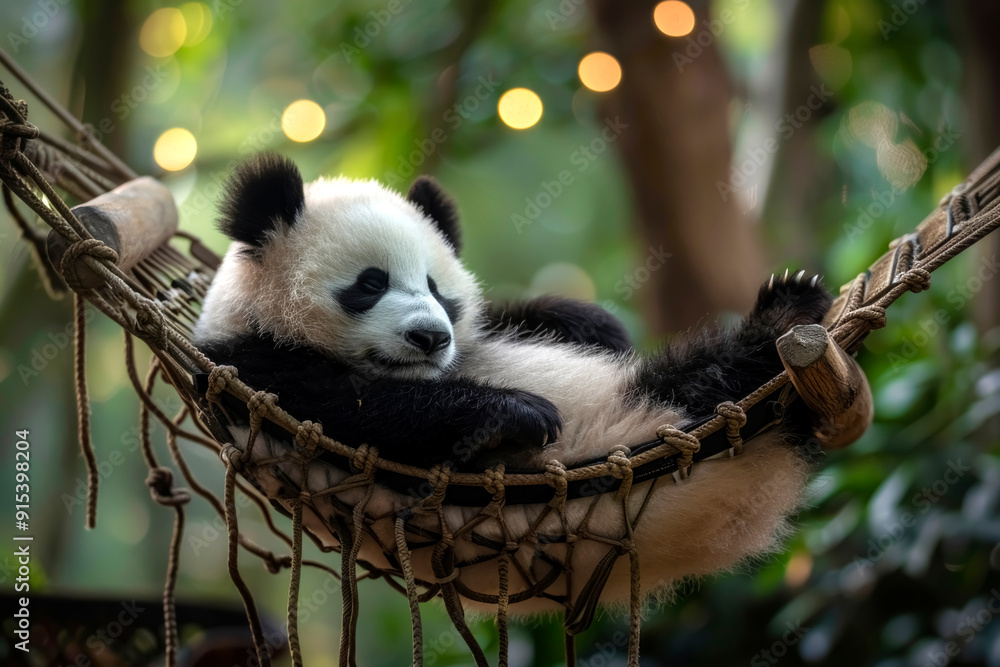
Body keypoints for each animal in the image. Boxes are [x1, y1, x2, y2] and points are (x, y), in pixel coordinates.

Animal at [194, 152, 832, 612]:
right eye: (370, 283)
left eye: (438, 289)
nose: (432, 337)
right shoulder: (256, 372)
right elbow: (362, 410)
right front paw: (516, 412)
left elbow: (530, 319)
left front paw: (594, 325)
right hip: (634, 418)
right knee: (695, 382)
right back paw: (777, 320)